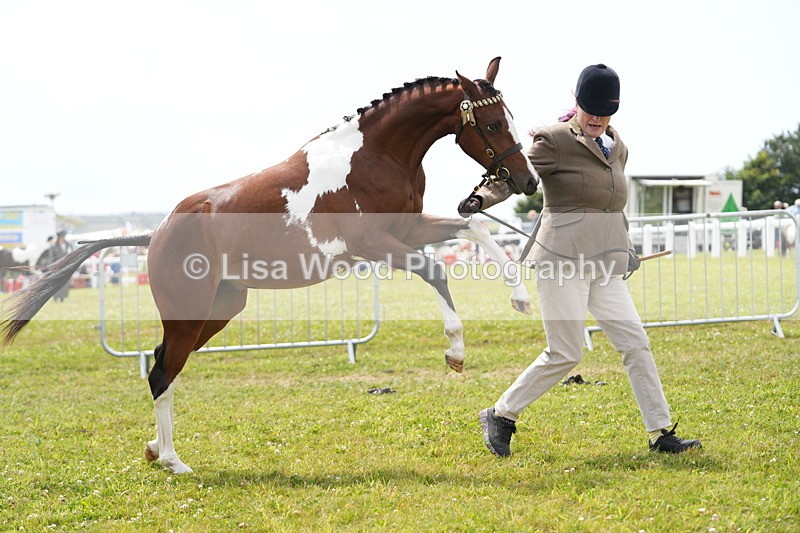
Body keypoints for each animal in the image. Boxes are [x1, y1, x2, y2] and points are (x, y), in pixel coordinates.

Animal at [1, 57, 538, 474]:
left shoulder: (407, 231)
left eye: (511, 119)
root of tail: (155, 235)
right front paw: (455, 351)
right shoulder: (373, 243)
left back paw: (156, 449)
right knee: (160, 373)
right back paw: (174, 460)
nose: (526, 180)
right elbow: (436, 270)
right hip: (189, 314)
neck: (374, 157)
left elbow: (475, 228)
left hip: (219, 311)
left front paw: (519, 297)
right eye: (492, 124)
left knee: (163, 364)